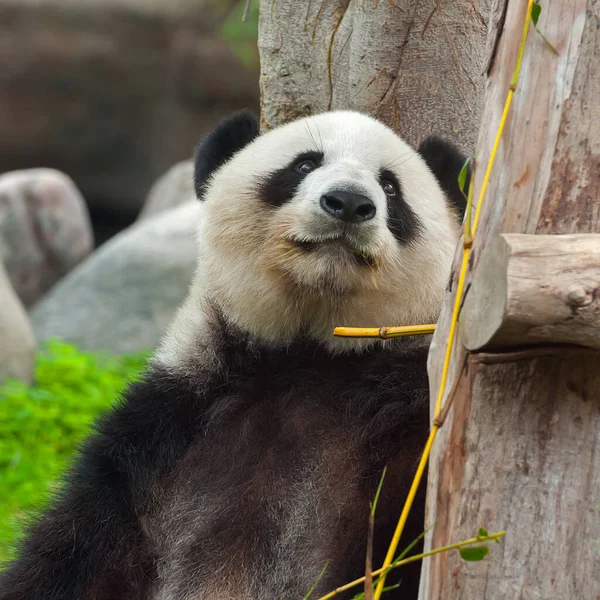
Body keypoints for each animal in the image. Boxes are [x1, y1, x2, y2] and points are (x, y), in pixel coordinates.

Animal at [0, 110, 468, 596]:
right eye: (304, 164)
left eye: (390, 186)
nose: (349, 202)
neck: (308, 353)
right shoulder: (164, 434)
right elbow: (73, 552)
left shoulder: (402, 415)